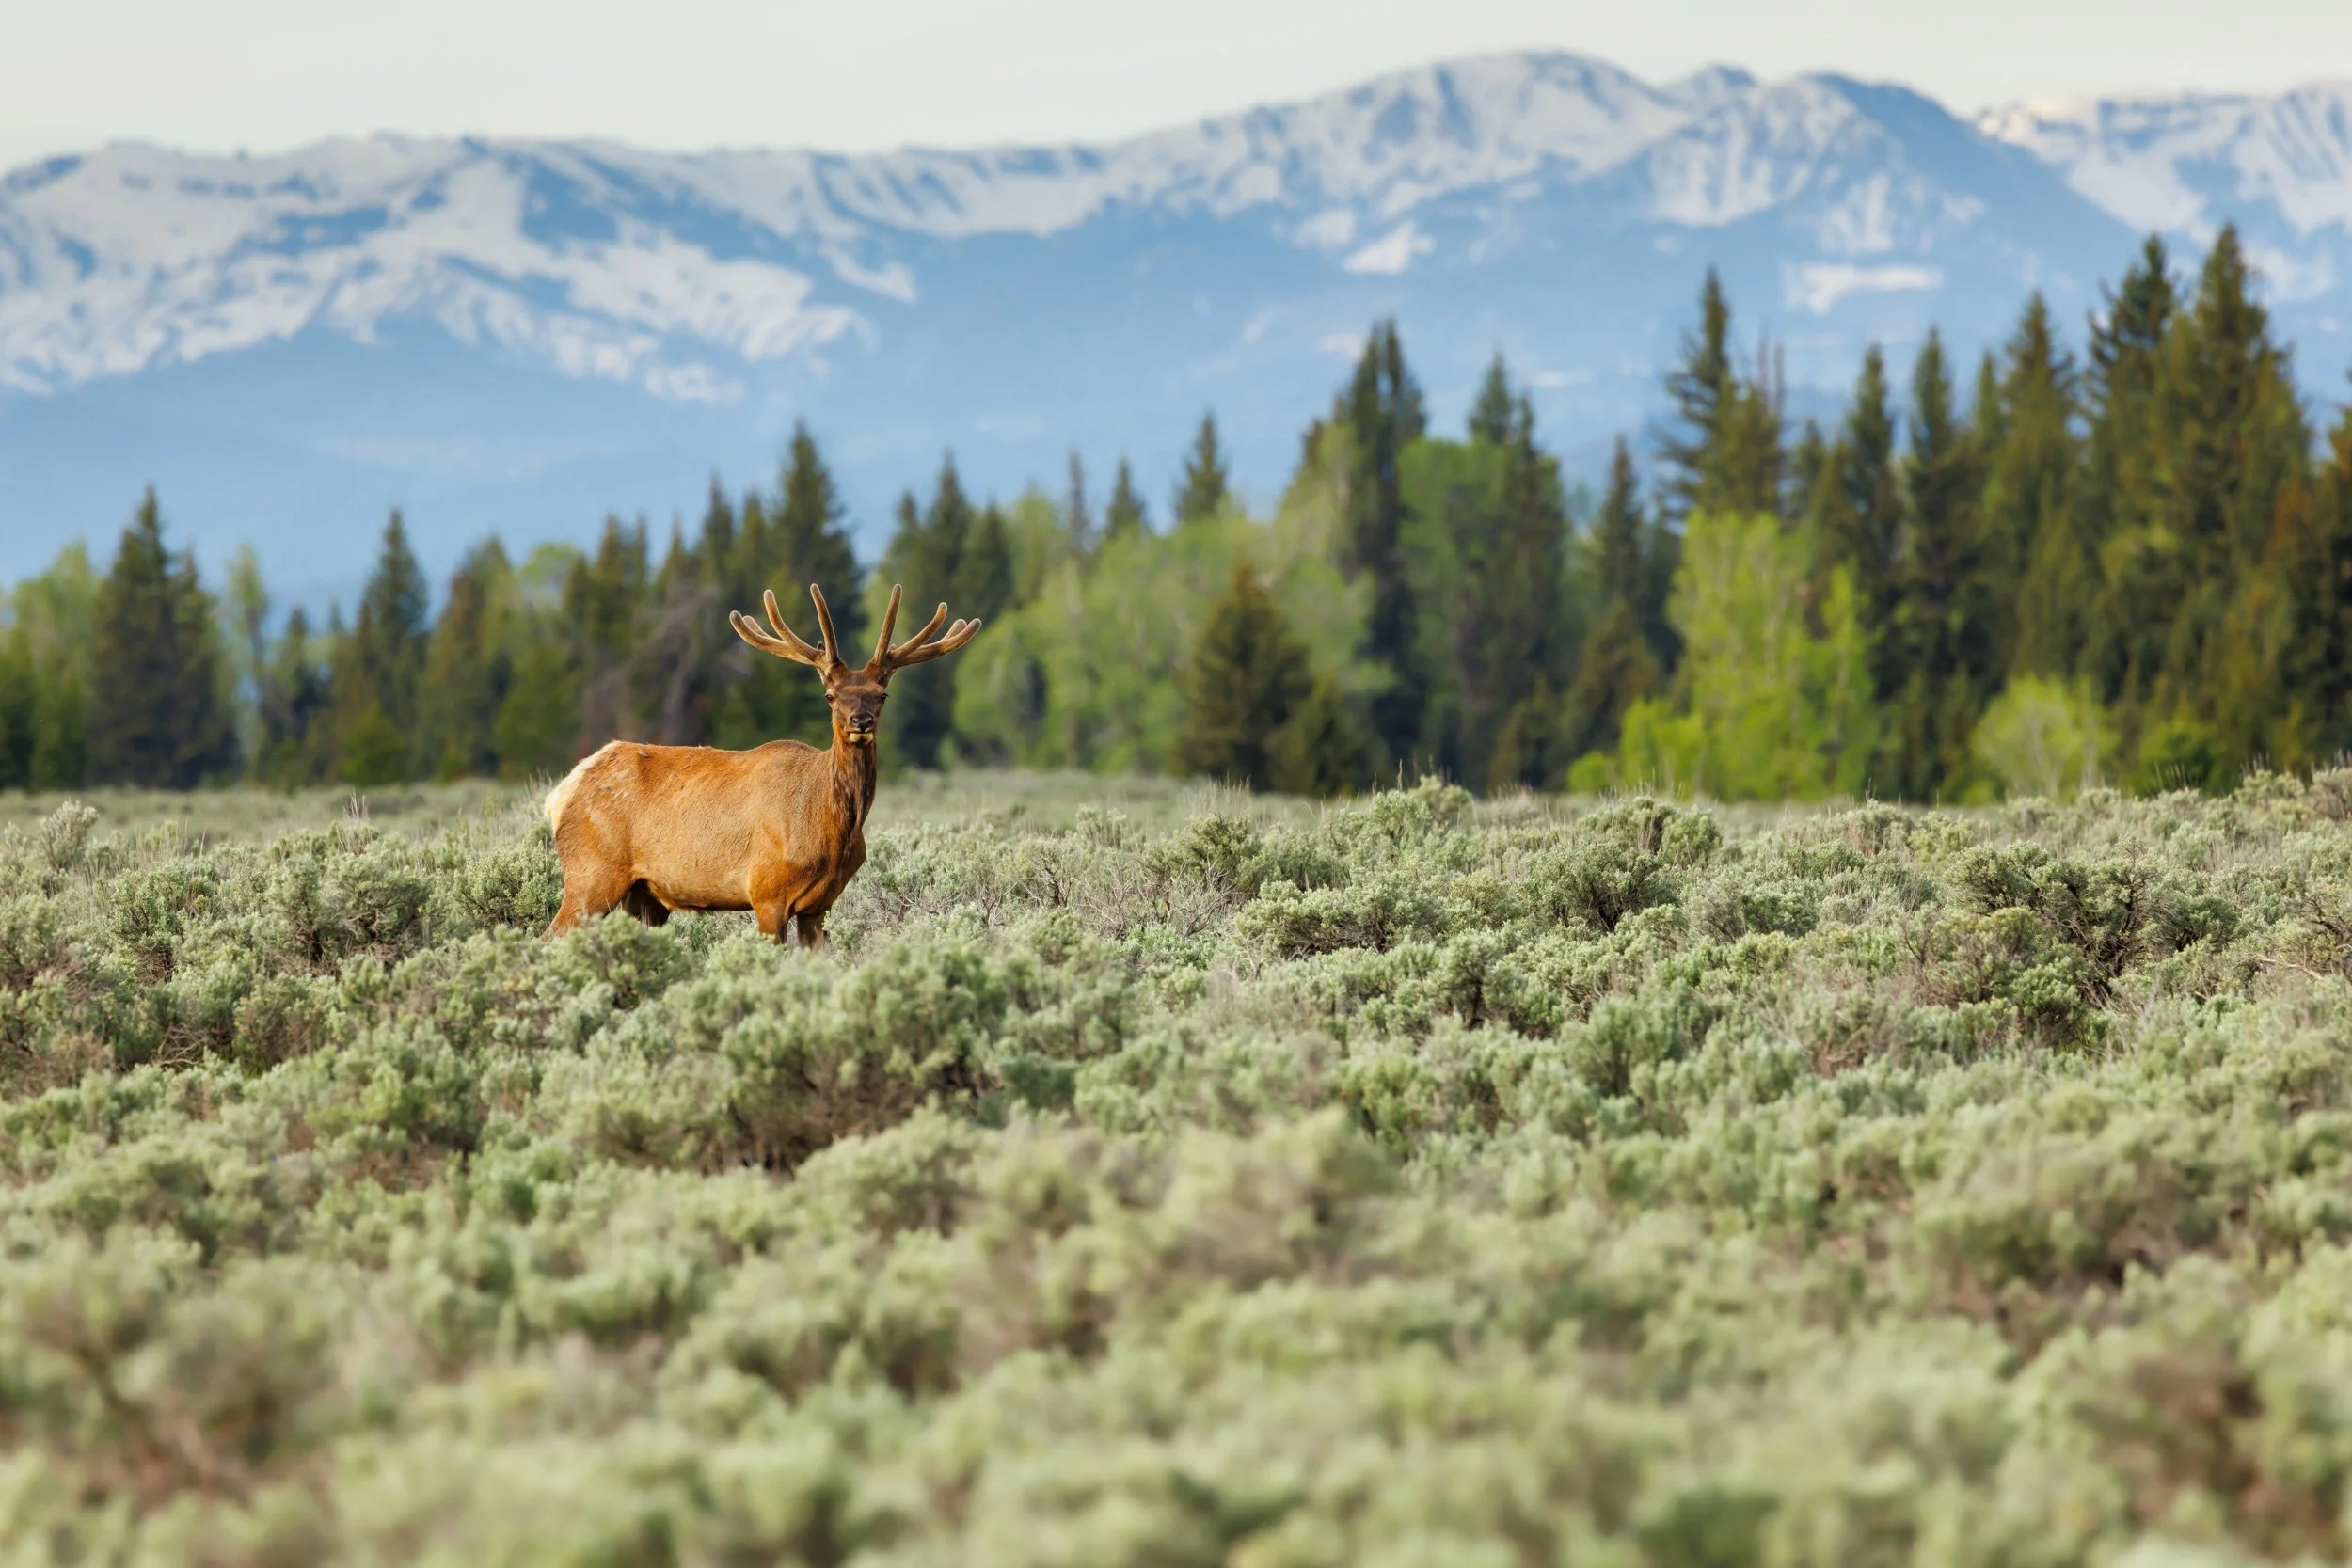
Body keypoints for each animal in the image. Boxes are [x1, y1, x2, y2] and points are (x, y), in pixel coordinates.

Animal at [540, 582, 979, 949]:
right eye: (830, 696)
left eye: (882, 694)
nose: (861, 721)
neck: (829, 829)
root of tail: (563, 790)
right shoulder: (767, 892)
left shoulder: (819, 906)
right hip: (591, 873)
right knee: (547, 937)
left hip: (645, 896)